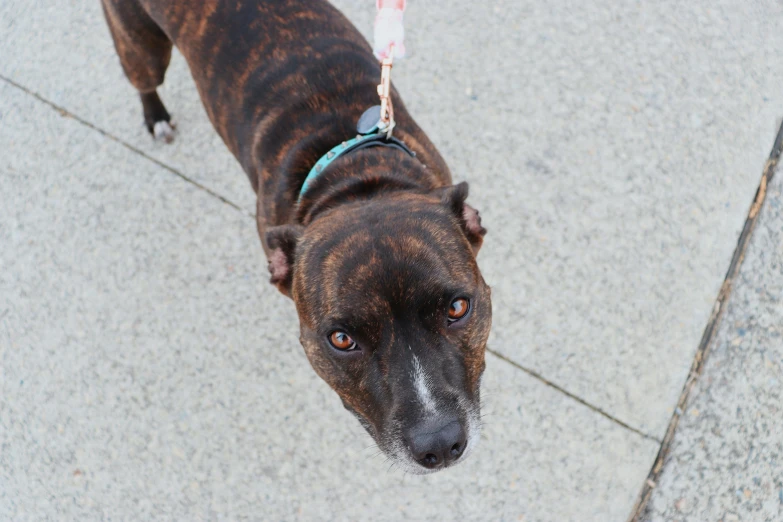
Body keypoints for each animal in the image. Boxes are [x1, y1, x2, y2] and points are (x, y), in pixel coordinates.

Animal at [102, 0, 494, 472]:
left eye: (458, 308)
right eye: (341, 340)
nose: (438, 443)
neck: (357, 180)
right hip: (140, 47)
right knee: (145, 79)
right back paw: (156, 116)